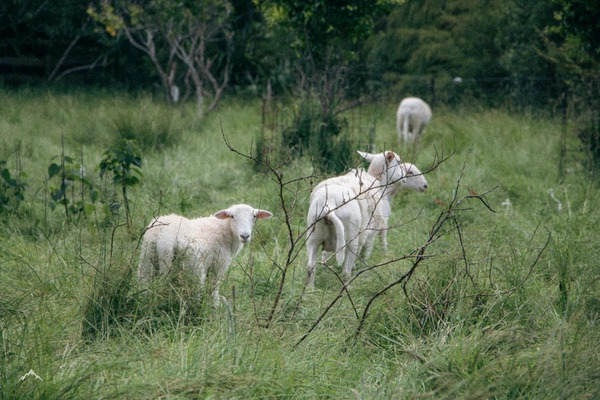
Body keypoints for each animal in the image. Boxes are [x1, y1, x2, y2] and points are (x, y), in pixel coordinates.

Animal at [138, 204, 272, 305]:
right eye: (232, 216)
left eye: (254, 216)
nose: (245, 236)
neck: (225, 231)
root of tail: (162, 236)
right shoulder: (219, 265)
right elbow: (214, 287)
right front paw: (215, 305)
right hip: (190, 266)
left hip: (146, 257)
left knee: (144, 281)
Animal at [305, 151, 406, 288]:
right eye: (399, 162)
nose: (405, 177)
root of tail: (328, 205)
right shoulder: (371, 234)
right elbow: (367, 253)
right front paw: (364, 269)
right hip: (351, 238)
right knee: (346, 271)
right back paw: (348, 287)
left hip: (313, 237)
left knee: (310, 266)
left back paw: (310, 290)